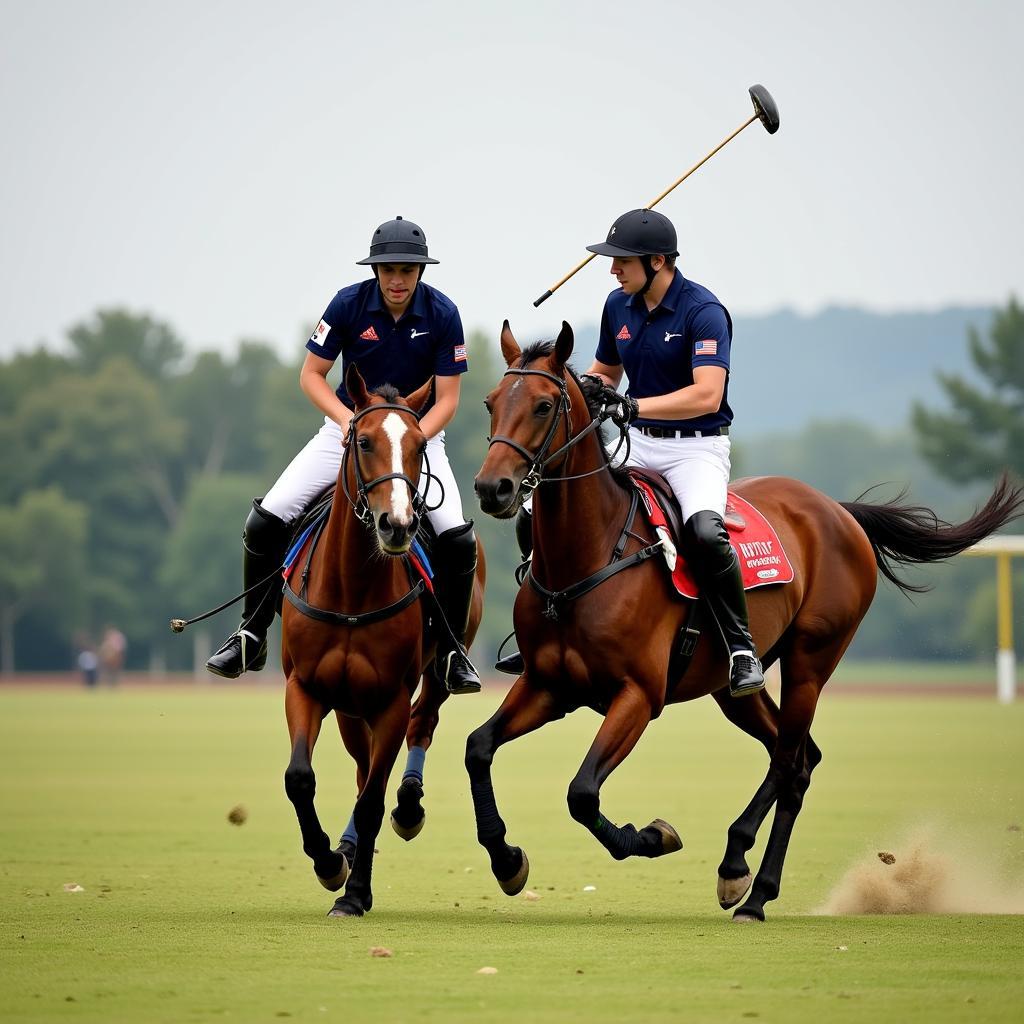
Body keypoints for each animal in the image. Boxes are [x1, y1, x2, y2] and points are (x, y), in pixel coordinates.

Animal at [282, 364, 485, 917]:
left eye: (419, 444)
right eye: (364, 440)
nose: (397, 524)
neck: (352, 586)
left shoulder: (391, 698)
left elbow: (374, 798)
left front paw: (353, 894)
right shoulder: (305, 687)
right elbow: (300, 778)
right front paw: (330, 863)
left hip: (434, 671)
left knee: (422, 725)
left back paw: (408, 808)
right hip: (350, 707)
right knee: (360, 766)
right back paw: (350, 848)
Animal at [468, 323, 1019, 925]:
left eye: (543, 405)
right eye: (490, 403)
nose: (493, 488)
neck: (587, 556)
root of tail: (839, 511)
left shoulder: (638, 695)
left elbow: (582, 792)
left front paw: (656, 836)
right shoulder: (547, 685)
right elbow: (479, 747)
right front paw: (506, 860)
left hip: (810, 662)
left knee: (789, 760)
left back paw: (741, 875)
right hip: (733, 687)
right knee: (801, 757)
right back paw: (754, 885)